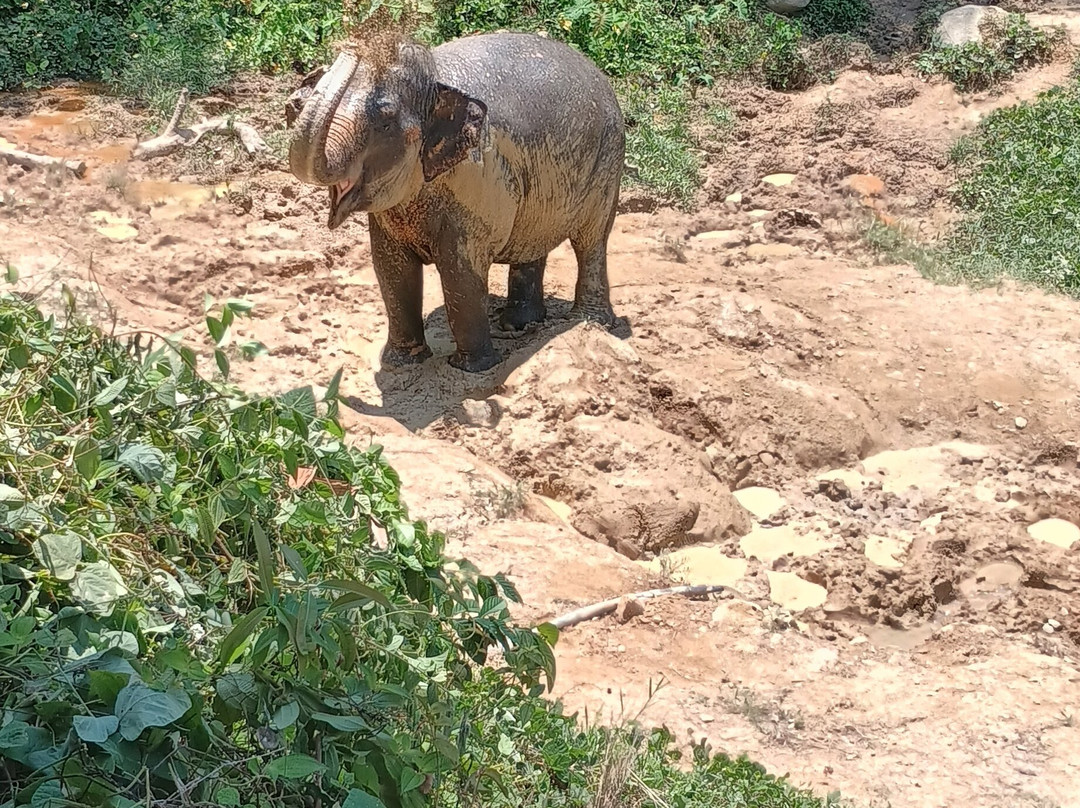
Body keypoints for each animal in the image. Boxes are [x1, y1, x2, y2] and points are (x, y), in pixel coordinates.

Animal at [285, 31, 625, 372]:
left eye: (384, 122)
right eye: (299, 106)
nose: (354, 44)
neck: (436, 78)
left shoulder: (478, 182)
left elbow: (460, 270)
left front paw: (471, 369)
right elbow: (391, 268)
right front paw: (402, 363)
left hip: (607, 161)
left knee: (591, 242)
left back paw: (590, 323)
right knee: (532, 241)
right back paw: (520, 325)